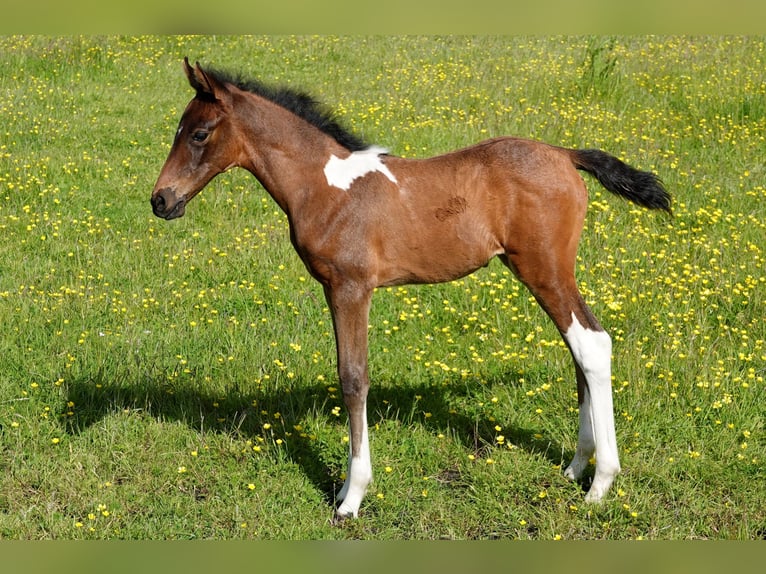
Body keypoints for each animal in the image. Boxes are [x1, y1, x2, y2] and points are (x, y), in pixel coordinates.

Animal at [152, 59, 672, 520]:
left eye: (198, 134)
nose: (160, 200)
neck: (323, 185)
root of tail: (566, 154)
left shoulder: (351, 288)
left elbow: (353, 378)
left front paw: (351, 498)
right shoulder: (338, 289)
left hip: (545, 268)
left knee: (591, 343)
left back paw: (600, 484)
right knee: (578, 347)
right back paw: (575, 467)